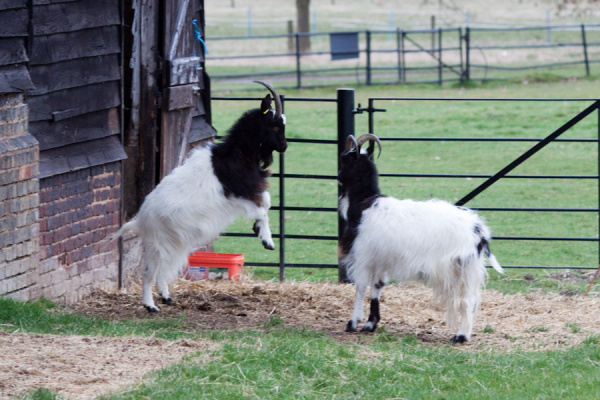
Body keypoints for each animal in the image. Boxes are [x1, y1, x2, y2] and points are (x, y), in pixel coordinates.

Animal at [117, 81, 288, 312]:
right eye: (276, 126)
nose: (284, 146)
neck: (236, 155)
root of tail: (141, 219)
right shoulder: (240, 192)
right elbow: (263, 208)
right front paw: (267, 241)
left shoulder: (248, 191)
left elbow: (266, 203)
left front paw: (258, 230)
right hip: (159, 241)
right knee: (149, 270)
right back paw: (150, 305)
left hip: (177, 241)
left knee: (165, 267)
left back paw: (165, 296)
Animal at [338, 134, 502, 344]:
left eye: (345, 158)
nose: (338, 176)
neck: (364, 203)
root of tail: (479, 231)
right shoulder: (381, 258)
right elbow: (377, 288)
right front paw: (370, 324)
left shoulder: (363, 255)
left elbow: (360, 287)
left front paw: (352, 323)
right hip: (468, 268)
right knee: (470, 299)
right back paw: (463, 335)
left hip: (462, 266)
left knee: (466, 300)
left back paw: (460, 336)